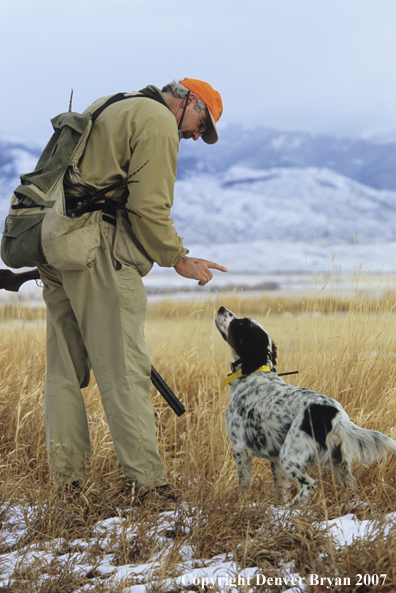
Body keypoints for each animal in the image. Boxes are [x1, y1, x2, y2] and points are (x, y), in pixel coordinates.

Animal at [215, 306, 396, 504]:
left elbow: (243, 486)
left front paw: (240, 505)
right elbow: (280, 488)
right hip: (338, 462)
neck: (253, 372)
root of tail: (334, 413)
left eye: (240, 323)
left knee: (309, 485)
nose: (222, 308)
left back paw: (292, 508)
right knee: (351, 487)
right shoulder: (274, 459)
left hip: (290, 454)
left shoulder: (240, 447)